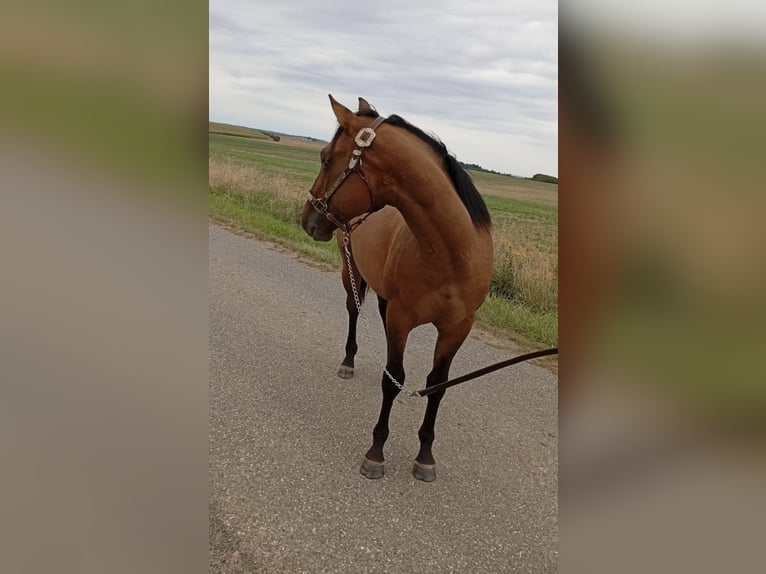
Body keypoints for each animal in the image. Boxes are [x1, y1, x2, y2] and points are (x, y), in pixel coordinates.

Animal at [300, 95, 493, 482]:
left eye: (326, 158)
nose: (306, 219)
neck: (450, 254)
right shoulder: (402, 319)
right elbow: (393, 381)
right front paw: (375, 452)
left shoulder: (457, 328)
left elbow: (437, 384)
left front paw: (425, 455)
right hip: (351, 274)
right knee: (354, 312)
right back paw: (348, 361)